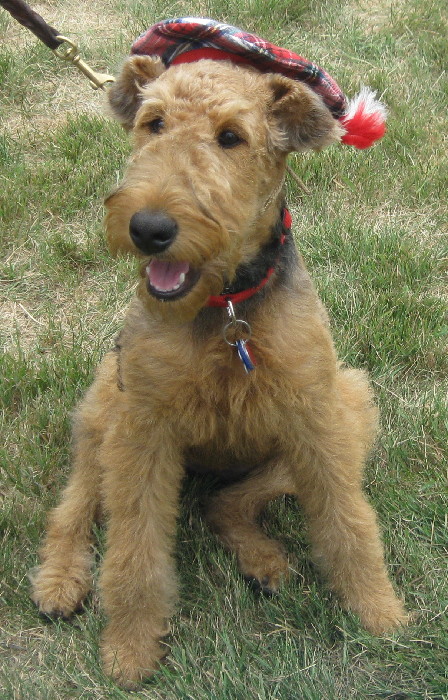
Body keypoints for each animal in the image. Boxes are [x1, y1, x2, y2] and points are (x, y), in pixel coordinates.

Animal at [31, 18, 407, 688]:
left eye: (231, 137)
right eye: (152, 122)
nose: (149, 228)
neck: (227, 307)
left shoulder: (315, 413)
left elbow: (348, 522)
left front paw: (378, 611)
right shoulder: (144, 428)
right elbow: (134, 551)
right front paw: (130, 647)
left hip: (351, 399)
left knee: (227, 502)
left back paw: (263, 560)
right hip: (106, 410)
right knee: (75, 505)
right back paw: (60, 578)